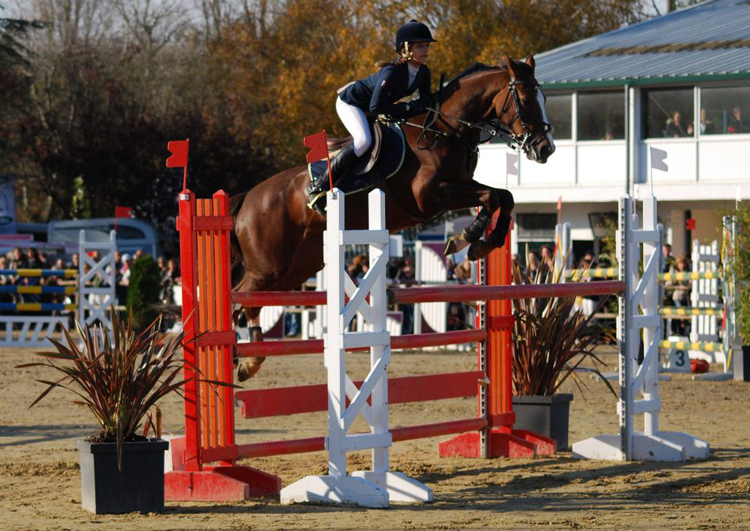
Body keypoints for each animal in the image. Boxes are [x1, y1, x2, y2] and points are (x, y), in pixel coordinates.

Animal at [232, 54, 556, 380]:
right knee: (243, 297)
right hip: (269, 267)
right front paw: (468, 236)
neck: (445, 130)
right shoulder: (431, 196)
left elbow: (504, 196)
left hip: (294, 270)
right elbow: (492, 197)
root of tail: (247, 199)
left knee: (243, 302)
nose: (546, 149)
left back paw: (243, 358)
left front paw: (482, 242)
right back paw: (248, 359)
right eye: (525, 98)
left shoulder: (460, 186)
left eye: (544, 98)